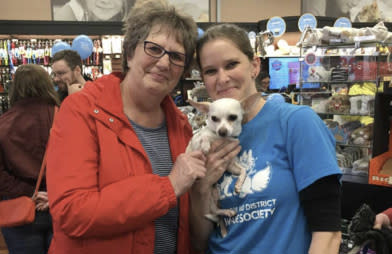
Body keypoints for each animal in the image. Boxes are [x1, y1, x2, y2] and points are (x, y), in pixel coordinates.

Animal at [186, 93, 260, 236]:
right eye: (214, 118)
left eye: (233, 117)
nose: (222, 131)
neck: (220, 139)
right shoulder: (195, 146)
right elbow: (203, 137)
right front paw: (206, 144)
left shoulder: (230, 165)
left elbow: (243, 170)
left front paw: (238, 185)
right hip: (206, 195)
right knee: (212, 212)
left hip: (214, 195)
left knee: (215, 212)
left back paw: (226, 212)